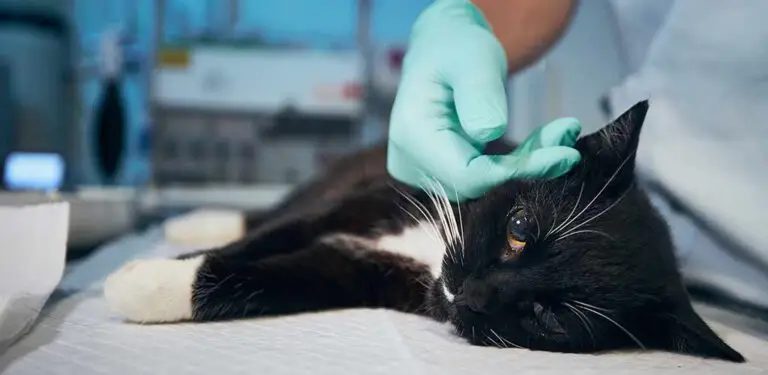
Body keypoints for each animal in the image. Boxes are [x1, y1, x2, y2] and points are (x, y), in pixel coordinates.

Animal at [103, 100, 744, 364]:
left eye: (548, 316)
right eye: (519, 229)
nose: (471, 292)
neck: (429, 252)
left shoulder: (369, 274)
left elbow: (288, 276)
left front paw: (150, 288)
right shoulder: (375, 197)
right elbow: (278, 233)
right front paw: (152, 271)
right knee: (279, 209)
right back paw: (194, 219)